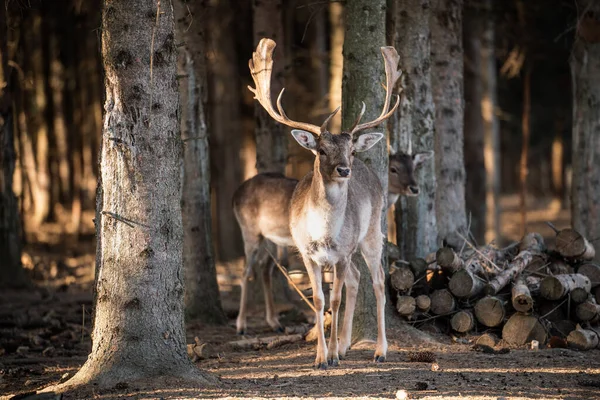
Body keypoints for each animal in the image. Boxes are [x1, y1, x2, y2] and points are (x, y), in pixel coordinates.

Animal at [230, 150, 432, 334]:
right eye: (393, 169)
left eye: (414, 167)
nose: (414, 188)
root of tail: (235, 194)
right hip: (249, 230)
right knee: (245, 271)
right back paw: (241, 325)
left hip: (271, 238)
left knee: (265, 268)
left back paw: (275, 322)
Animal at [246, 38, 406, 368]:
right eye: (320, 150)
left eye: (351, 151)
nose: (344, 169)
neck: (323, 234)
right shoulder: (307, 253)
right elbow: (319, 301)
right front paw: (321, 356)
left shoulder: (342, 253)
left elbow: (335, 298)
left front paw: (330, 356)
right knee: (357, 280)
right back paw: (344, 346)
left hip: (372, 233)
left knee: (378, 282)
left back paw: (379, 350)